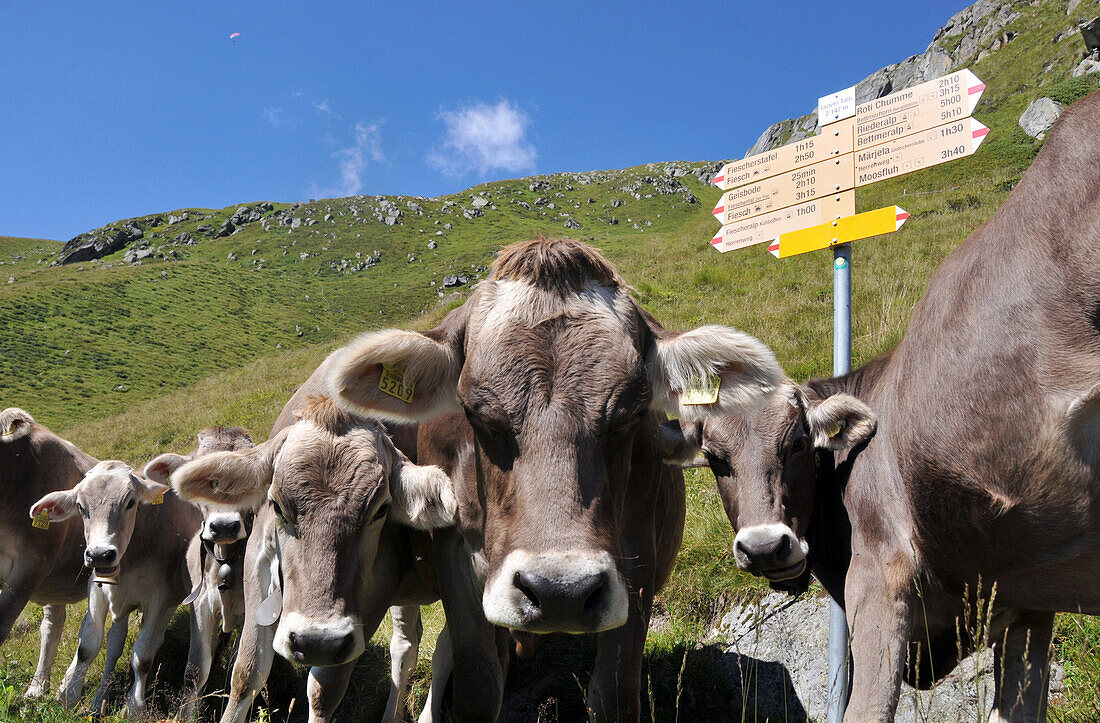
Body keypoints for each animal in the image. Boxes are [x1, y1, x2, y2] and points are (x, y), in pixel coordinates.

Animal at [170, 352, 459, 721]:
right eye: (277, 505)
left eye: (381, 509)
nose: (314, 642)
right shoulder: (255, 560)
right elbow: (246, 673)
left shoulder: (373, 595)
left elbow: (324, 692)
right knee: (407, 645)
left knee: (447, 647)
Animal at [323, 235, 783, 717]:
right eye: (475, 412)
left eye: (633, 412)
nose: (561, 591)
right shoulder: (453, 552)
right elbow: (478, 686)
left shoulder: (637, 554)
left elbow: (613, 695)